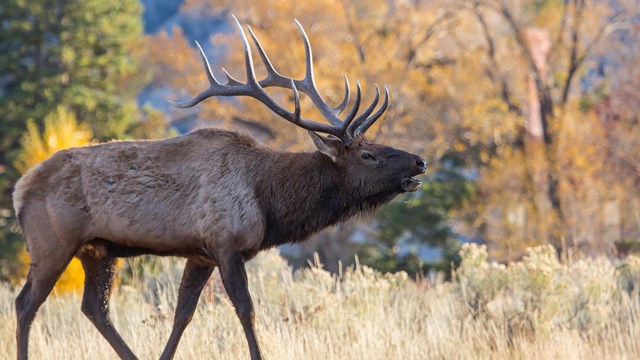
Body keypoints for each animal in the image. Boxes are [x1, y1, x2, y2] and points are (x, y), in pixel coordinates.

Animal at [13, 17, 424, 360]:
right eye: (369, 154)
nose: (419, 161)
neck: (269, 202)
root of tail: (19, 189)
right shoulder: (226, 243)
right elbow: (246, 310)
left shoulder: (201, 253)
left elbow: (183, 313)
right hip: (52, 243)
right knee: (25, 304)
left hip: (98, 249)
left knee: (94, 308)